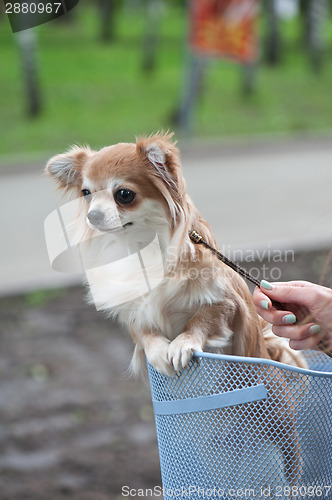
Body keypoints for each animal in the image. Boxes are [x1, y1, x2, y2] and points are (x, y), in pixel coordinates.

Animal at [45, 132, 308, 484]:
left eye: (123, 194)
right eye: (87, 195)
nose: (93, 215)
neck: (143, 248)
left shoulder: (227, 303)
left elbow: (201, 319)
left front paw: (182, 345)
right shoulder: (136, 313)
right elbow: (145, 333)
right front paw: (159, 351)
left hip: (274, 449)